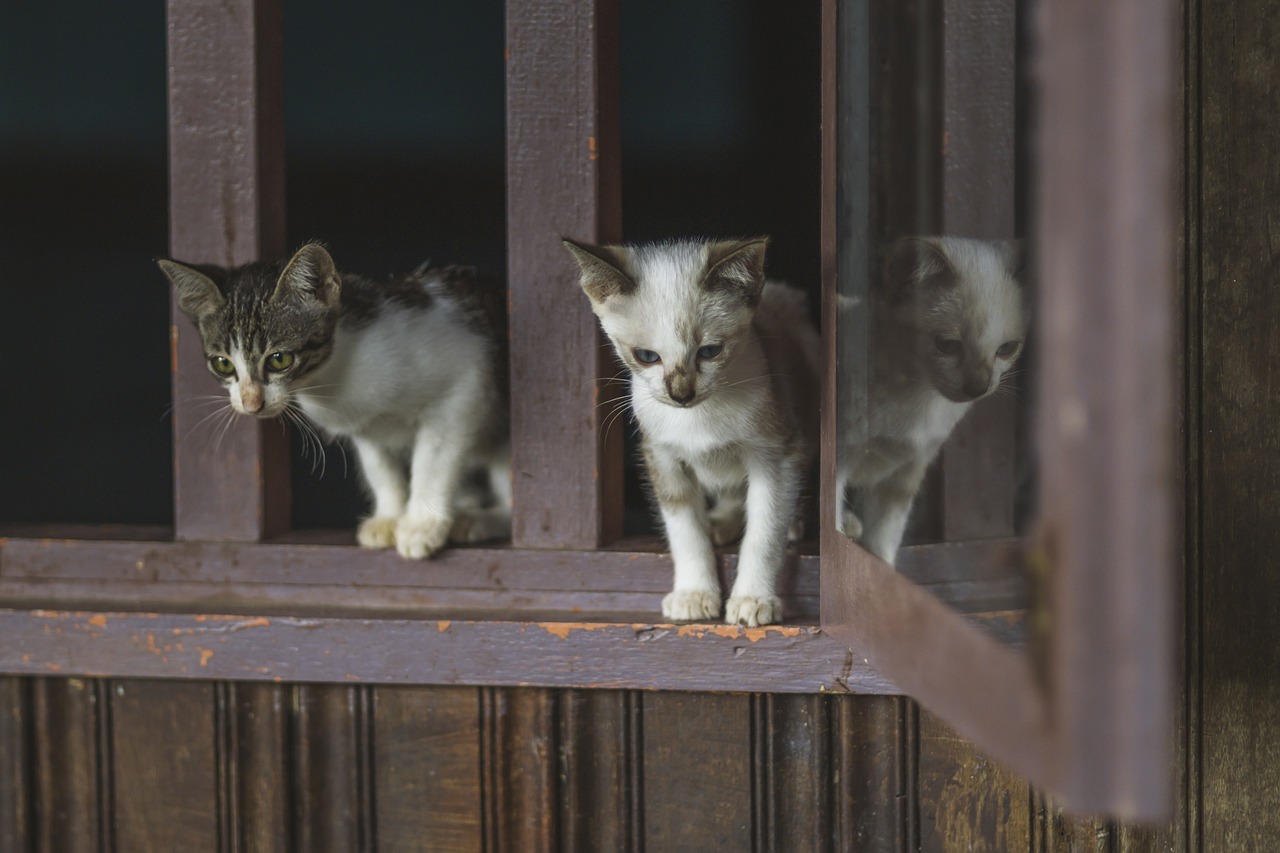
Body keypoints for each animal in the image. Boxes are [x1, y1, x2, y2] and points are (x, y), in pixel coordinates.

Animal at [162, 240, 512, 558]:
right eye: (222, 363)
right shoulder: (365, 428)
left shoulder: (462, 388)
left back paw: (477, 521)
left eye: (279, 359)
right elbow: (379, 467)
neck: (333, 377)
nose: (251, 403)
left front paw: (420, 525)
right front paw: (389, 517)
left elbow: (433, 460)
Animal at [563, 235, 819, 622]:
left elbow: (763, 532)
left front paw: (753, 599)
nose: (681, 394)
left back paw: (791, 525)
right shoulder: (662, 457)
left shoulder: (775, 453)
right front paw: (694, 594)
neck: (697, 420)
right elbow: (684, 530)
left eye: (710, 351)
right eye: (646, 357)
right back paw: (720, 523)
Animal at [834, 235, 1024, 560]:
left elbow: (884, 536)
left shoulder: (907, 472)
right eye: (947, 346)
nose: (979, 387)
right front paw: (839, 534)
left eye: (1007, 349)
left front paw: (883, 566)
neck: (919, 397)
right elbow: (831, 508)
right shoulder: (841, 453)